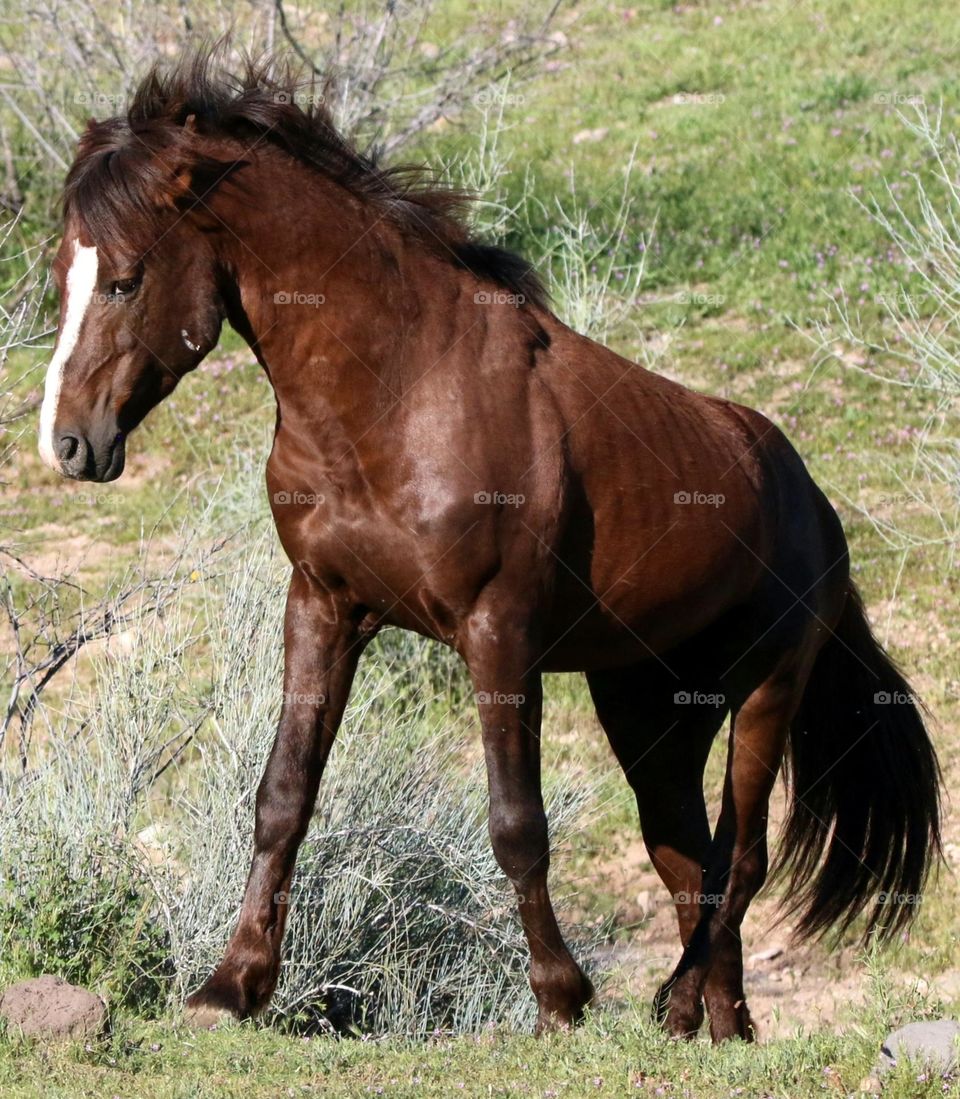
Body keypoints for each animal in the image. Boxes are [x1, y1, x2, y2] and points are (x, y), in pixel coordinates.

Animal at [37, 51, 941, 1042]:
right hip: (652, 711)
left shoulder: (497, 631)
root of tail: (811, 499)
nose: (69, 442)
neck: (399, 388)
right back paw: (714, 1023)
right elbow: (281, 799)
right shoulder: (322, 605)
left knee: (740, 858)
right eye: (62, 273)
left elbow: (517, 822)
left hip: (767, 688)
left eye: (124, 280)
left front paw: (560, 996)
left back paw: (678, 1004)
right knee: (688, 861)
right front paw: (232, 985)